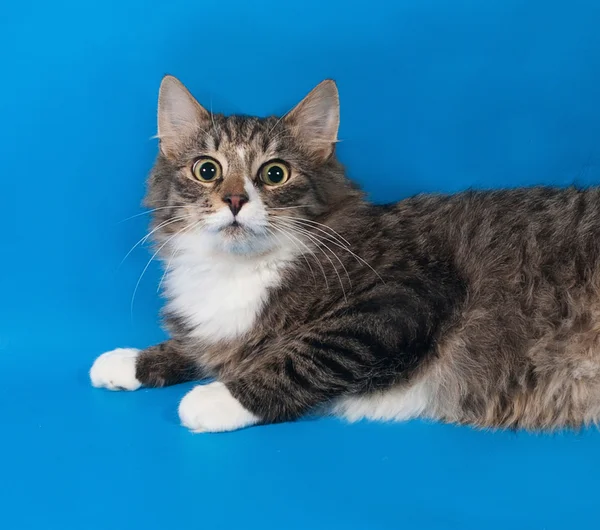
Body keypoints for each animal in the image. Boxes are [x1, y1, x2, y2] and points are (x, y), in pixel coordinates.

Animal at [88, 75, 600, 428]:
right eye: (207, 170)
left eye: (274, 174)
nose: (234, 200)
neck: (240, 271)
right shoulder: (214, 327)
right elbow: (194, 346)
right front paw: (126, 362)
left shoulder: (402, 296)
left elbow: (303, 356)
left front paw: (216, 399)